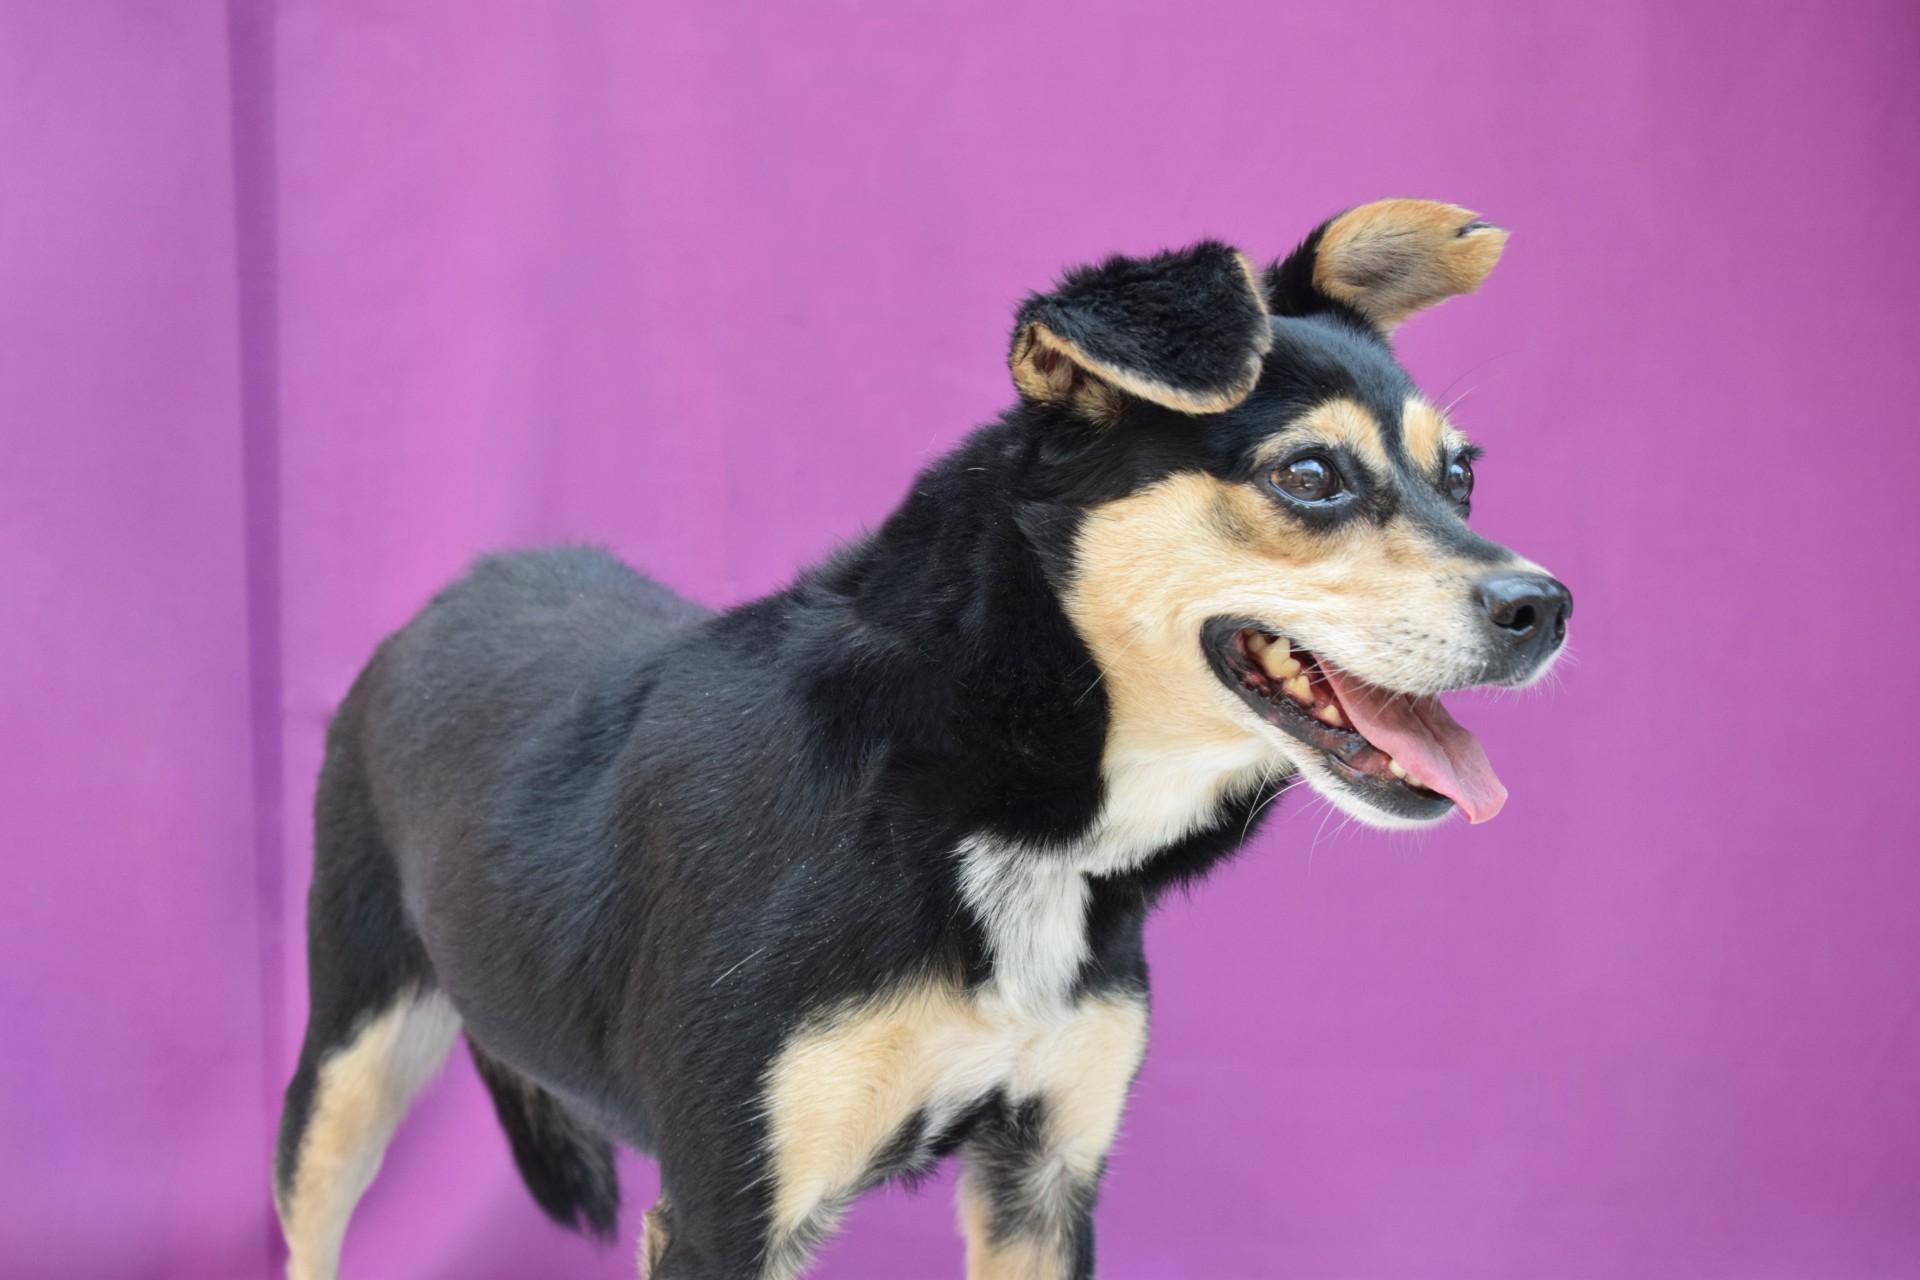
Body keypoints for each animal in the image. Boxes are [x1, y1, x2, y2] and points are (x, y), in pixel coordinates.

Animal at [274, 200, 1574, 1280]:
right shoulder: (726, 1209)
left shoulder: (1043, 1175)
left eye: (1463, 474)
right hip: (345, 1065)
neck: (984, 805)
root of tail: (466, 584)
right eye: (1309, 473)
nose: (1546, 606)